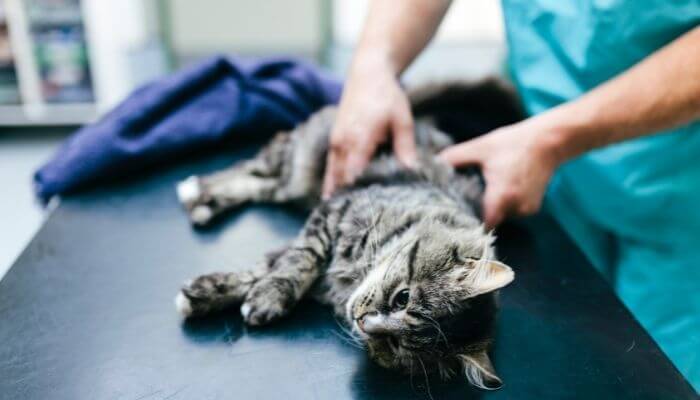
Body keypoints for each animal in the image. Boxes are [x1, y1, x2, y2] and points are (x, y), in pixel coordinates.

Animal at [172, 79, 524, 390]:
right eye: (402, 297)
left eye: (396, 344)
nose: (362, 321)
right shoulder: (333, 211)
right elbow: (297, 261)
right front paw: (262, 294)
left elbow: (265, 267)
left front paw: (209, 295)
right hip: (300, 164)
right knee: (252, 170)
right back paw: (196, 190)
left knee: (259, 183)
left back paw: (203, 202)